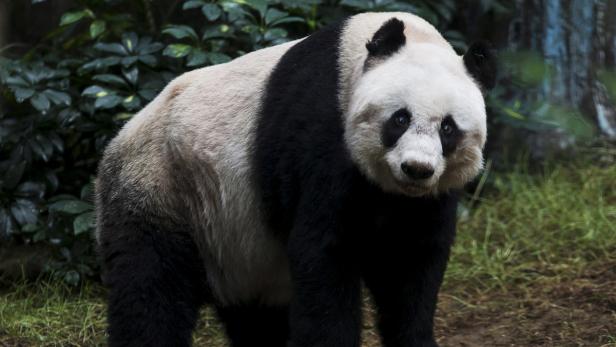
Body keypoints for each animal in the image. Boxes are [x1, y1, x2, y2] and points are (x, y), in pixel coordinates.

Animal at [95, 10, 496, 347]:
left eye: (448, 128)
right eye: (400, 118)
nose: (416, 168)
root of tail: (118, 139)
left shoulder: (426, 200)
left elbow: (409, 264)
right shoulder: (321, 135)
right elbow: (324, 253)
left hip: (235, 241)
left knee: (255, 318)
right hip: (163, 186)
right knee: (151, 287)